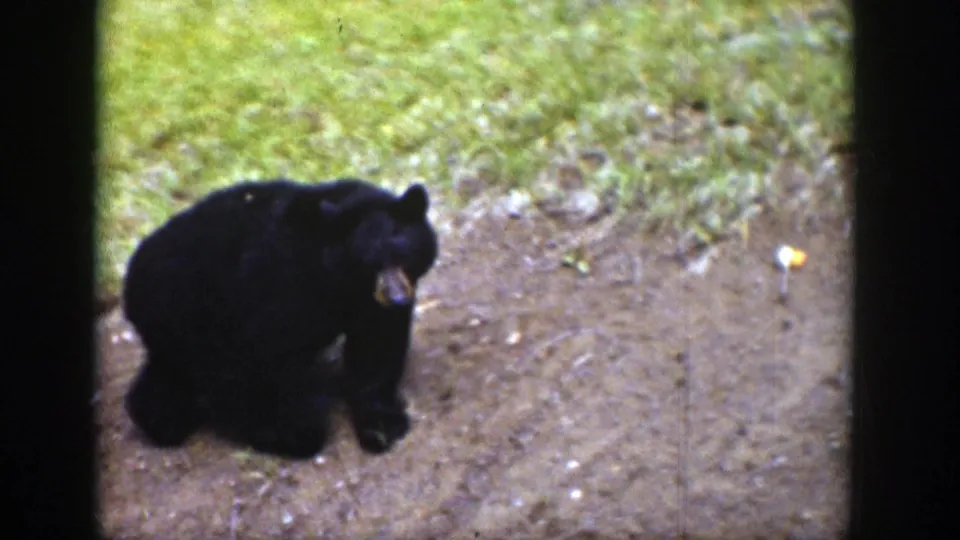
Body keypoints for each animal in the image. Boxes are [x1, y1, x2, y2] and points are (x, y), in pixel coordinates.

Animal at [121, 177, 439, 460]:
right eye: (369, 264)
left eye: (403, 255)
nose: (397, 299)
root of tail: (130, 279)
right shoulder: (282, 289)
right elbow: (273, 356)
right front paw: (294, 431)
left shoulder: (368, 304)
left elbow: (376, 347)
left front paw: (383, 425)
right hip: (193, 315)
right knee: (221, 375)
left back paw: (160, 419)